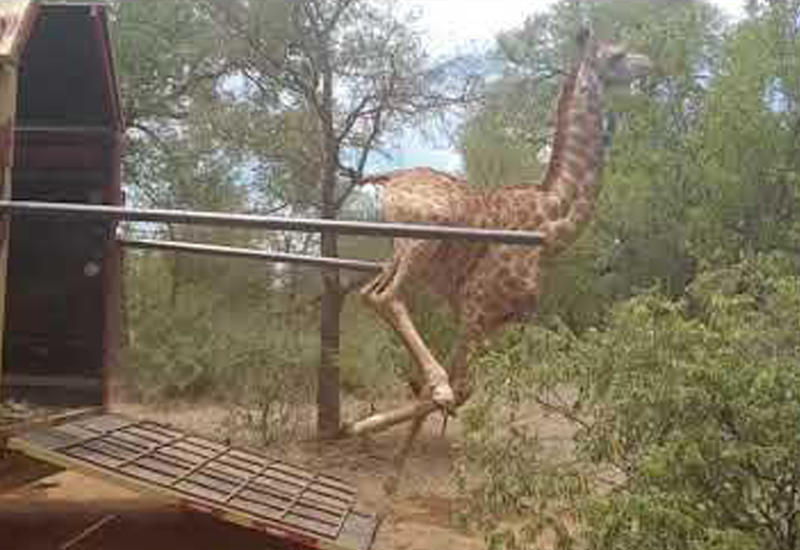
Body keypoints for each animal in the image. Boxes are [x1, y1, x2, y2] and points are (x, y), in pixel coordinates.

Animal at [342, 30, 651, 457]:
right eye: (617, 55)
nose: (649, 64)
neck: (553, 223)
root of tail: (387, 180)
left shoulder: (493, 318)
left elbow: (462, 390)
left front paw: (393, 455)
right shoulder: (477, 305)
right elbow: (458, 389)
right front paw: (376, 425)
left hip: (398, 250)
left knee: (370, 293)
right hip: (428, 230)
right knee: (387, 297)